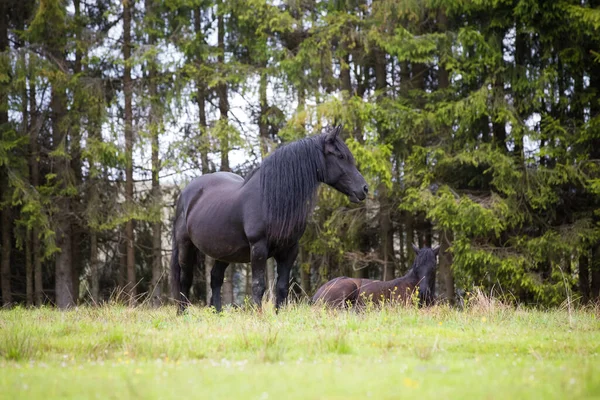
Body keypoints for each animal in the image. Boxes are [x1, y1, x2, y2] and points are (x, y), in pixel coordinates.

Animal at [169, 126, 366, 314]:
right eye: (340, 156)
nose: (364, 189)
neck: (272, 199)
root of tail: (186, 192)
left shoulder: (289, 250)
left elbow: (282, 287)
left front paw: (279, 315)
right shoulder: (259, 248)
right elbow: (259, 285)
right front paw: (258, 315)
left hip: (224, 251)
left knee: (215, 278)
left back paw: (218, 314)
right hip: (185, 245)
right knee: (185, 279)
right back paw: (183, 313)